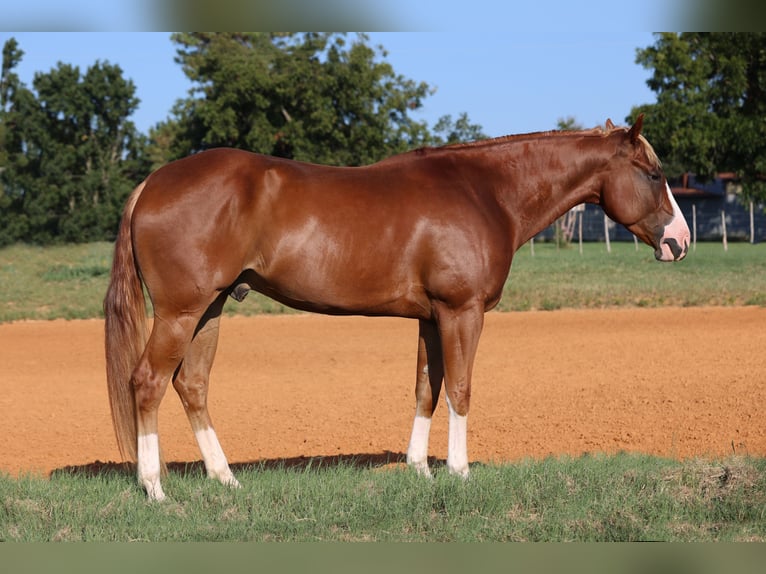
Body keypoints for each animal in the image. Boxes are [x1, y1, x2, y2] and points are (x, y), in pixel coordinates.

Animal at [104, 114, 690, 500]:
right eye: (654, 174)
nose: (679, 242)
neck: (484, 191)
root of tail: (153, 182)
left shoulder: (431, 318)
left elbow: (427, 388)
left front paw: (420, 469)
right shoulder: (461, 312)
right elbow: (460, 389)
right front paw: (460, 473)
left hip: (211, 309)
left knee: (192, 385)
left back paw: (226, 479)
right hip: (181, 313)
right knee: (148, 383)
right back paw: (155, 489)